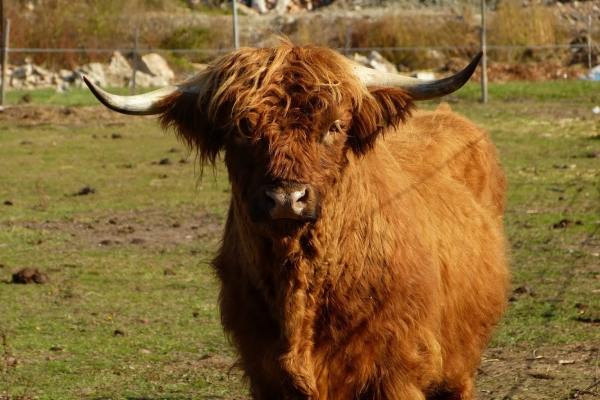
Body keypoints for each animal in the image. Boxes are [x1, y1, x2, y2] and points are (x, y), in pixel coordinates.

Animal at [84, 41, 508, 400]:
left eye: (334, 127)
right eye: (242, 128)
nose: (287, 198)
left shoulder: (397, 372)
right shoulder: (264, 372)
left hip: (458, 367)